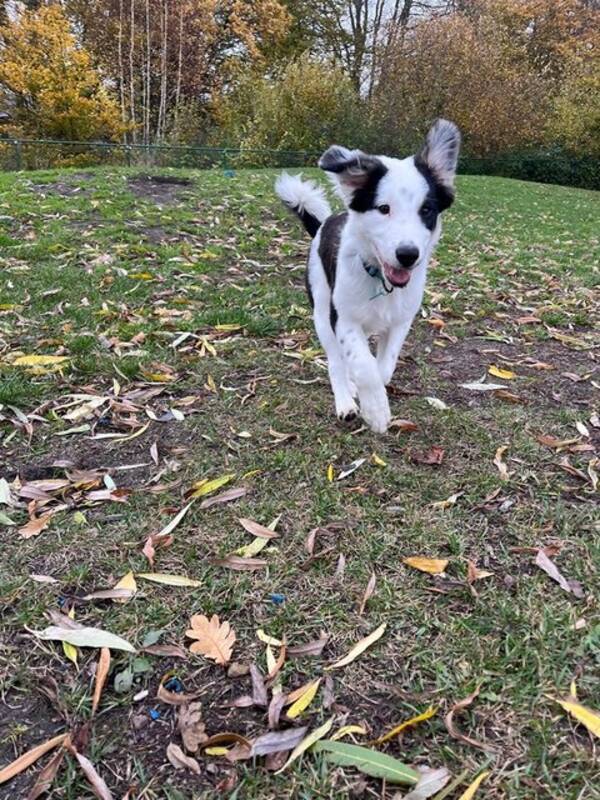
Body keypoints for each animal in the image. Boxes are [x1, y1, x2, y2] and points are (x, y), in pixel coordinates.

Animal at [276, 117, 460, 438]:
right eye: (383, 208)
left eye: (427, 210)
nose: (408, 254)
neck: (380, 281)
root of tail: (323, 224)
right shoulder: (343, 318)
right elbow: (363, 365)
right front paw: (375, 410)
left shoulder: (401, 321)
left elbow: (383, 366)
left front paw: (375, 395)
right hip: (321, 310)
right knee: (335, 362)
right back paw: (345, 401)